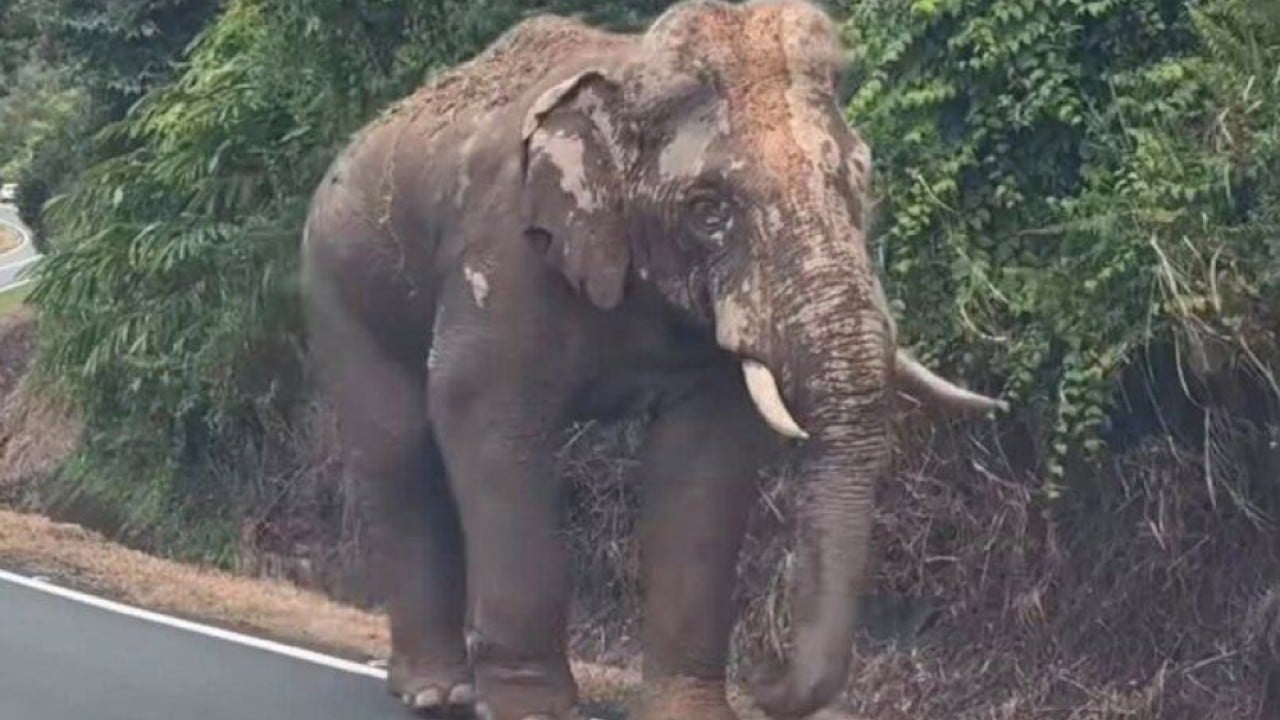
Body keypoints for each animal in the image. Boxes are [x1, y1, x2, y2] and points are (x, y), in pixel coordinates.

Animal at [301, 2, 1005, 719]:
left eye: (863, 180)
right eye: (709, 210)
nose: (762, 678)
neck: (628, 74)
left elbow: (704, 457)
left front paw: (691, 712)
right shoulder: (502, 251)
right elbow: (484, 413)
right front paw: (535, 709)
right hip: (338, 286)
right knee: (398, 453)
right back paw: (436, 691)